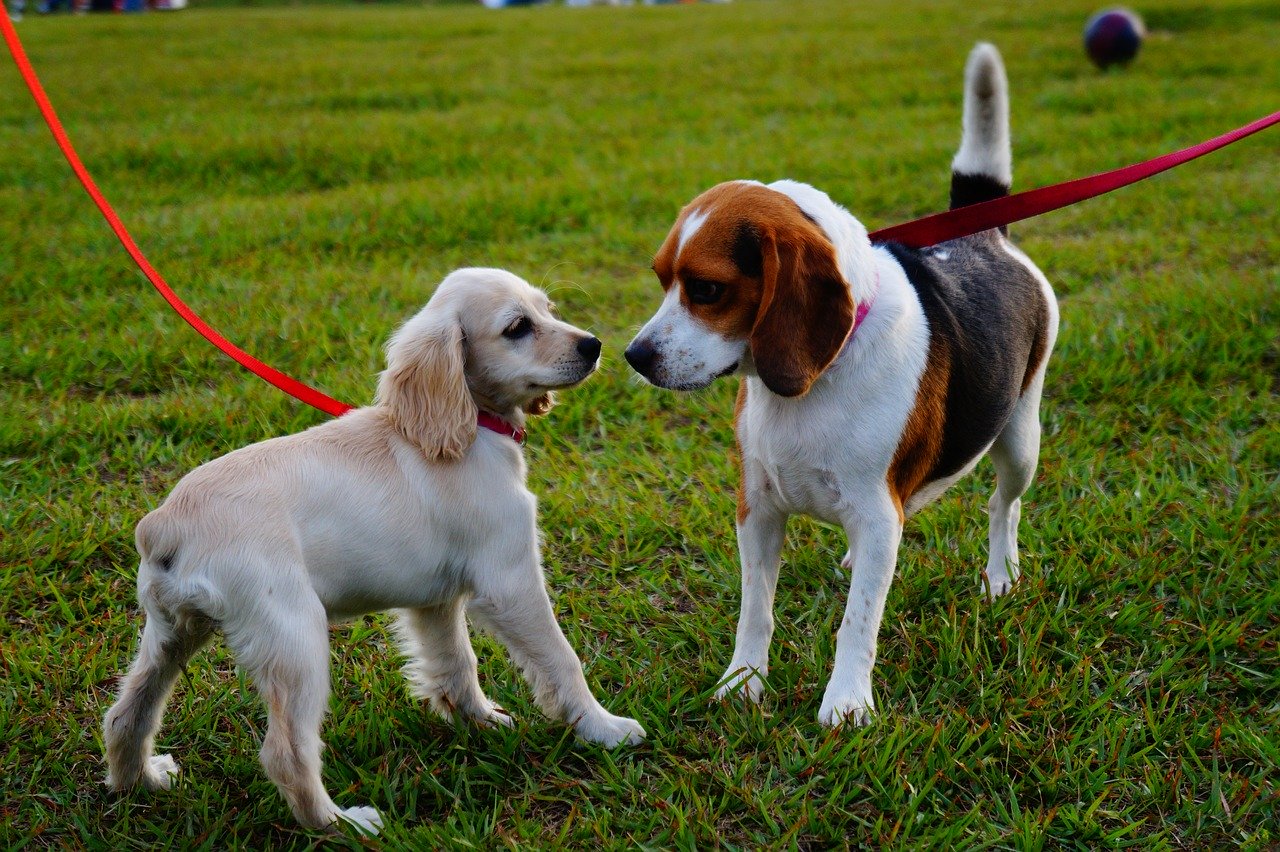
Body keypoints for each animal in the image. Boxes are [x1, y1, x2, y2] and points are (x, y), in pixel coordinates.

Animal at [624, 44, 1054, 721]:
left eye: (708, 289)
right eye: (662, 278)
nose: (634, 356)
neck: (814, 383)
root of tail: (984, 234)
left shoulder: (878, 514)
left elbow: (860, 621)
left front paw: (847, 704)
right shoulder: (758, 507)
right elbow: (755, 609)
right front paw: (742, 682)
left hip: (1020, 441)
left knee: (1001, 506)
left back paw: (1002, 575)